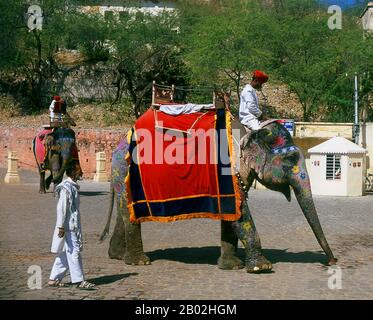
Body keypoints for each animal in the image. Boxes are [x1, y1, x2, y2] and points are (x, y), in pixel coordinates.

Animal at [100, 120, 336, 272]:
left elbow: (232, 216)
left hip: (122, 176)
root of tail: (117, 147)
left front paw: (231, 266)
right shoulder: (227, 170)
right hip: (125, 173)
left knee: (126, 215)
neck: (250, 133)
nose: (331, 262)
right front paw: (262, 267)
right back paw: (140, 262)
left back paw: (117, 256)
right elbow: (241, 216)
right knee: (129, 217)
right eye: (289, 160)